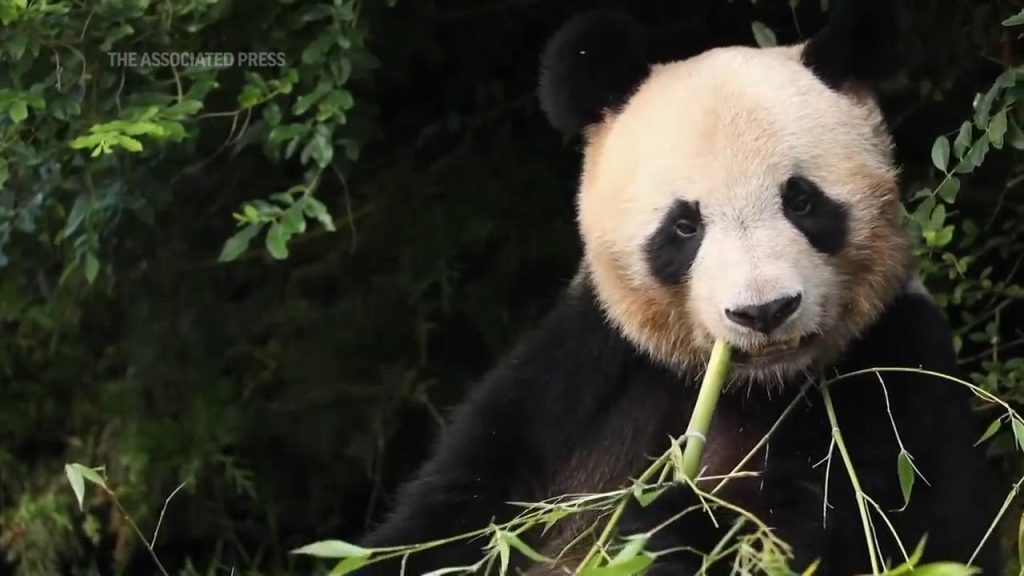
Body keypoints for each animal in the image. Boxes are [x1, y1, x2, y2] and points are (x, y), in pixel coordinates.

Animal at [359, 1, 1003, 574]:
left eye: (801, 200)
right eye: (685, 225)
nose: (764, 312)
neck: (756, 387)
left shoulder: (897, 367)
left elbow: (904, 532)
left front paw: (668, 528)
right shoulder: (585, 366)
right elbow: (449, 519)